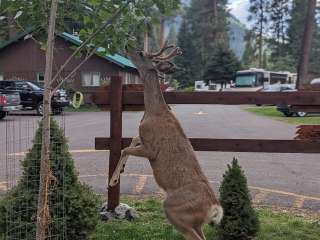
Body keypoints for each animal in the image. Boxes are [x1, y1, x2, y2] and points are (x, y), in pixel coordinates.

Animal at [109, 42, 222, 239]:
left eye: (141, 53)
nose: (127, 46)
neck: (153, 111)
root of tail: (213, 207)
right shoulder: (142, 137)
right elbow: (132, 139)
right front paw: (120, 171)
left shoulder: (151, 149)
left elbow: (124, 149)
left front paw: (113, 180)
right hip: (196, 222)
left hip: (175, 210)